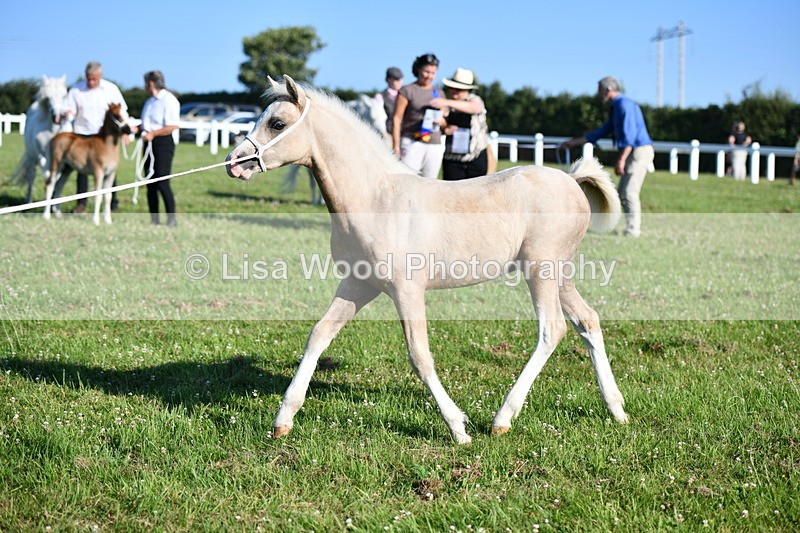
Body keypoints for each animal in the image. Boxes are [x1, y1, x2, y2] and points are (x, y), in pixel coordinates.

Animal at [11, 75, 69, 204]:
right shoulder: (39, 155)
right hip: (32, 158)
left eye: (64, 96)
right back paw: (28, 201)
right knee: (31, 177)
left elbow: (56, 177)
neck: (52, 132)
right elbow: (47, 174)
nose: (57, 118)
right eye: (48, 98)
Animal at [226, 76, 629, 444]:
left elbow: (419, 355)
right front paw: (283, 420)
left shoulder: (407, 291)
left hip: (541, 271)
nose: (234, 163)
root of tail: (572, 180)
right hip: (559, 274)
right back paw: (616, 409)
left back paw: (502, 418)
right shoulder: (358, 284)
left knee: (552, 330)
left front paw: (458, 428)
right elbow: (318, 335)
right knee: (587, 321)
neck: (376, 199)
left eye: (277, 123)